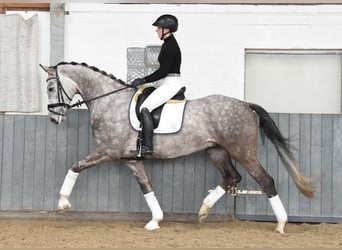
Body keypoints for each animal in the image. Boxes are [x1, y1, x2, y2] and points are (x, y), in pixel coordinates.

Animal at [39, 61, 316, 233]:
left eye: (51, 87)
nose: (53, 119)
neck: (109, 101)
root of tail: (246, 104)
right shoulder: (131, 159)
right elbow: (147, 187)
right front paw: (155, 221)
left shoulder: (108, 151)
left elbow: (75, 166)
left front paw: (62, 203)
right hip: (216, 151)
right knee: (232, 177)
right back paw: (203, 211)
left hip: (243, 151)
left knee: (265, 180)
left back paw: (281, 224)